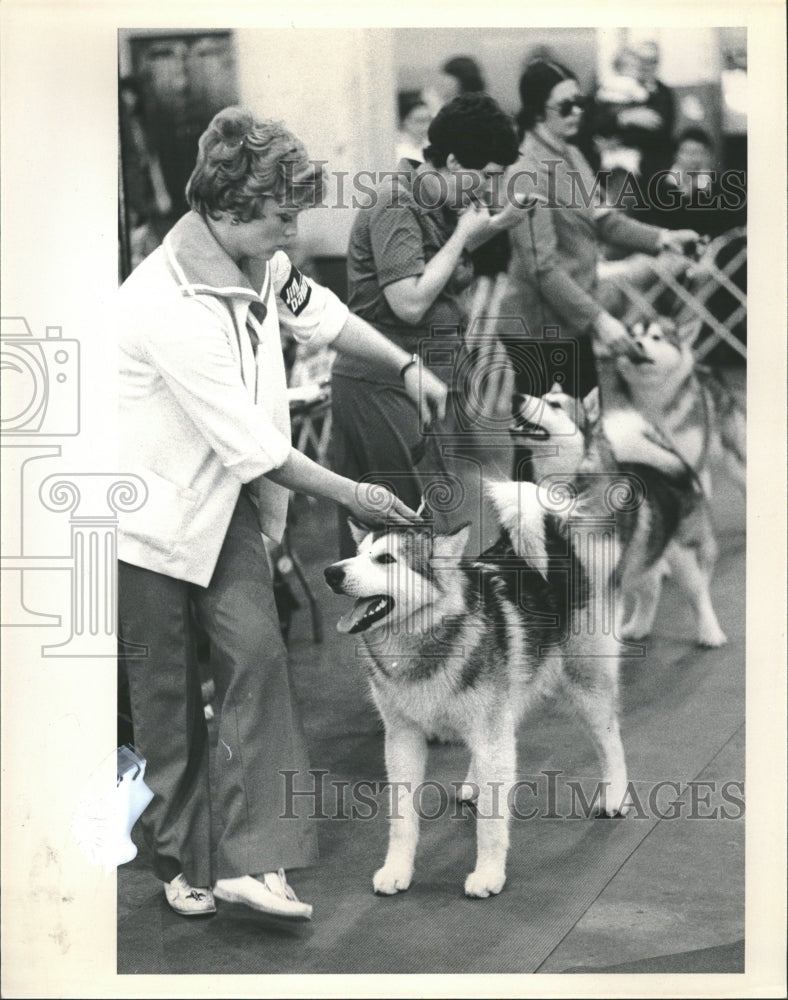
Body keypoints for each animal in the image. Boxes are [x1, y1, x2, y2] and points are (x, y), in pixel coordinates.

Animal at [324, 480, 632, 904]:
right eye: (356, 555)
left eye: (385, 559)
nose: (330, 572)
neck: (424, 640)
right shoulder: (403, 739)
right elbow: (402, 819)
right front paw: (397, 869)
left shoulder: (490, 731)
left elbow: (491, 823)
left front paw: (488, 873)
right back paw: (474, 782)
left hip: (585, 687)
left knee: (610, 740)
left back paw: (615, 795)